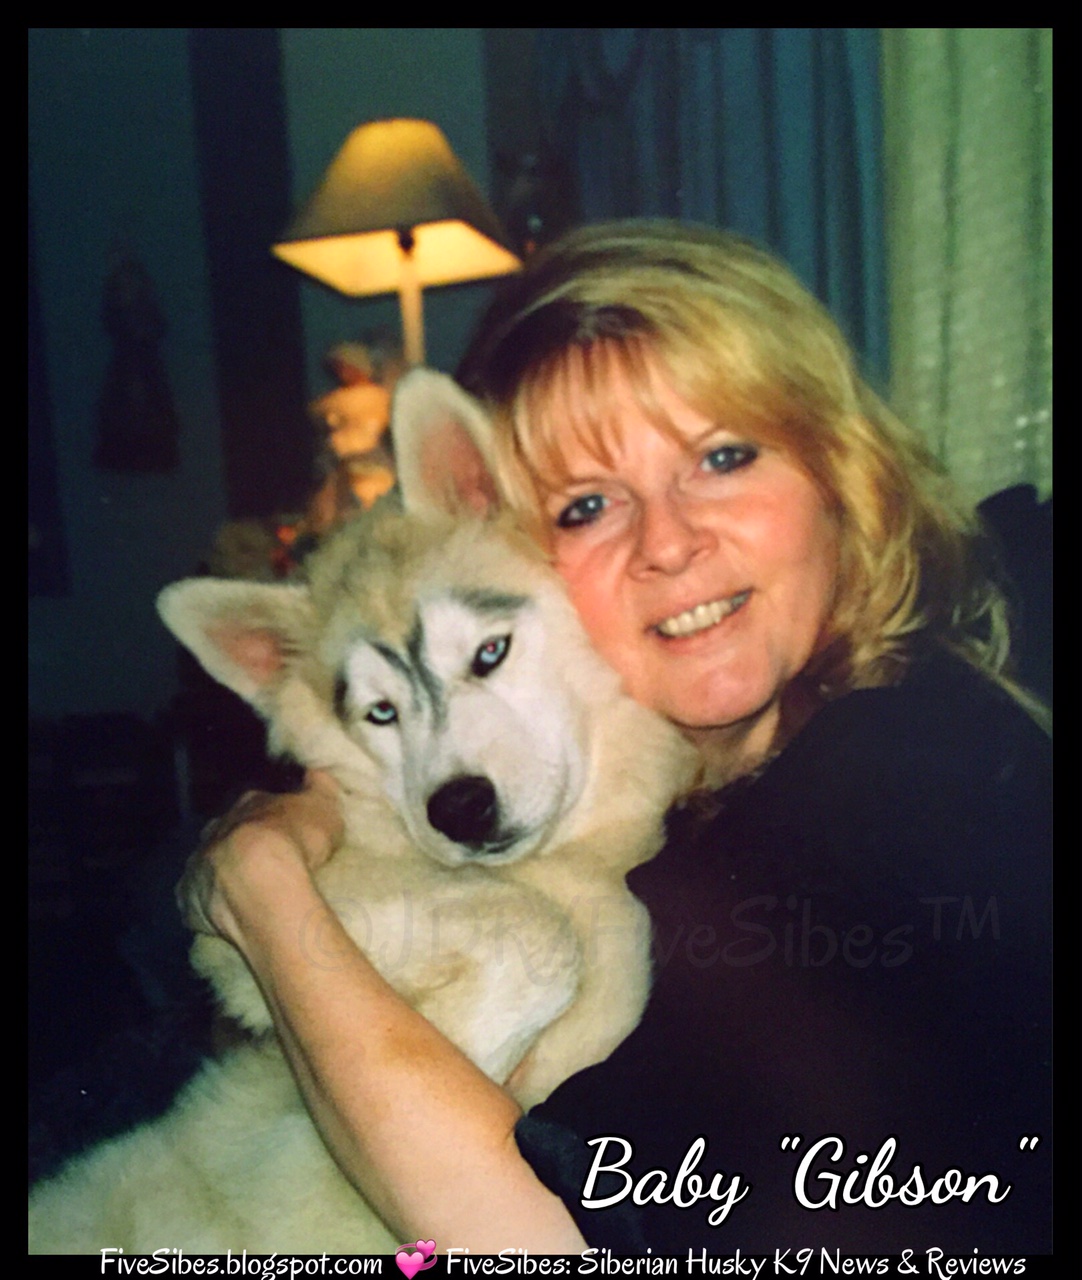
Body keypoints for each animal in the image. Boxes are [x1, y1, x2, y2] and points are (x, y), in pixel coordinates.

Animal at [28, 370, 698, 1255]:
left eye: (490, 653)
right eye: (380, 714)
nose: (459, 809)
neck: (570, 864)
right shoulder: (256, 948)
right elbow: (539, 931)